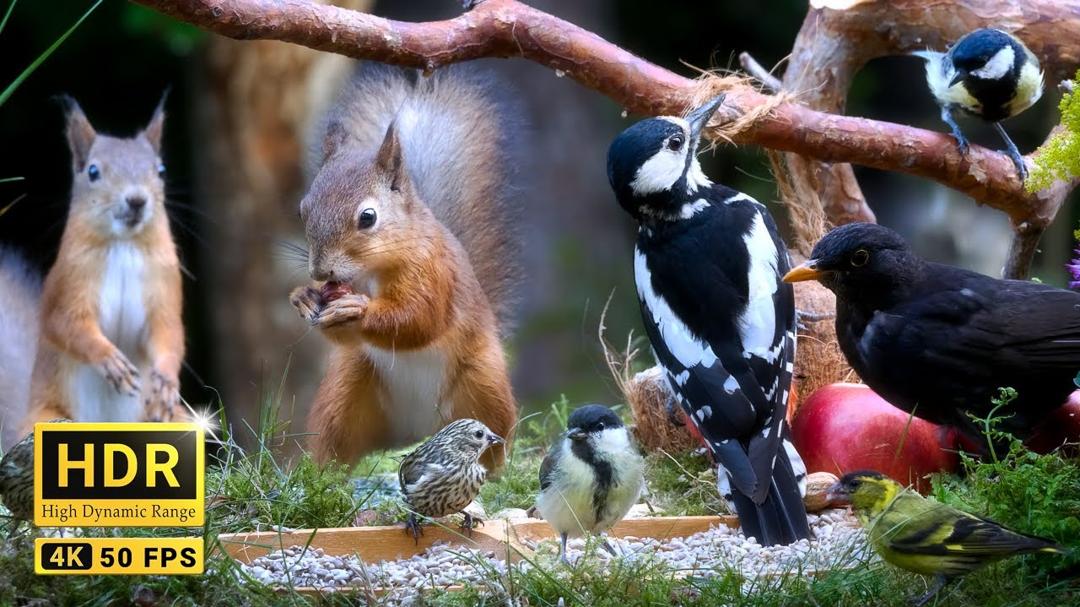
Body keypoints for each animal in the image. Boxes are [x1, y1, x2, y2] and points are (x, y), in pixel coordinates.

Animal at [0, 96, 186, 436]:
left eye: (161, 170)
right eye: (93, 171)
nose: (136, 200)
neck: (124, 244)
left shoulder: (164, 286)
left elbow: (168, 332)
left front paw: (166, 382)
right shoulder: (68, 284)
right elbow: (68, 325)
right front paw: (110, 359)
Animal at [290, 65, 522, 469]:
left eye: (367, 217)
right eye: (304, 210)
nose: (320, 273)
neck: (371, 270)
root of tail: (419, 431)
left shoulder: (435, 272)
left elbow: (419, 319)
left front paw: (356, 310)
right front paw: (304, 297)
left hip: (484, 385)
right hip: (346, 391)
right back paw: (324, 474)